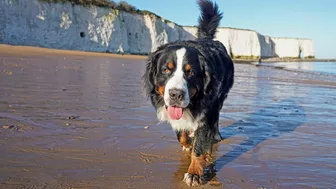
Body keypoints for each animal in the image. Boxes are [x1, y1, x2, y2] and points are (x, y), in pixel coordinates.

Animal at [142, 0, 234, 186]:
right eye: (166, 70)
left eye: (190, 72)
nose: (175, 94)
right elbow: (181, 134)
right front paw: (187, 143)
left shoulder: (207, 112)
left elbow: (199, 147)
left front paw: (194, 173)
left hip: (219, 100)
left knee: (215, 121)